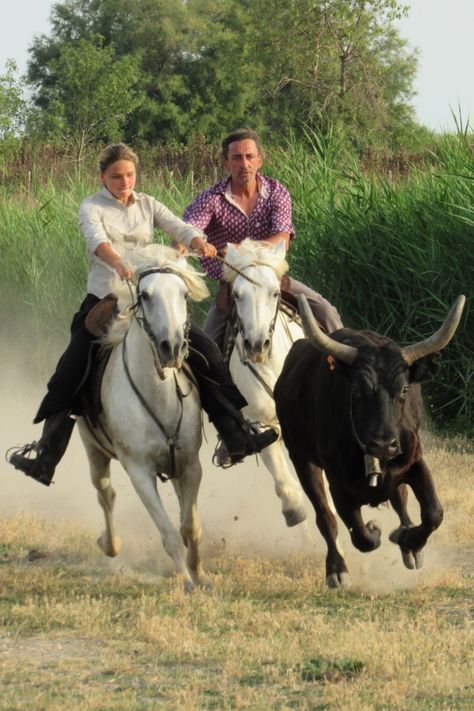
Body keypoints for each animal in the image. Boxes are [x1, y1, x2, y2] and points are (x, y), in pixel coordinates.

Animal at [77, 248, 210, 592]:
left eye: (184, 294)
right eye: (146, 296)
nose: (172, 347)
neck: (157, 395)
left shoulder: (190, 465)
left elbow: (190, 525)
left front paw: (200, 574)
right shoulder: (139, 472)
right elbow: (168, 533)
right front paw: (187, 581)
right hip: (92, 449)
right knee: (105, 494)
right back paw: (110, 545)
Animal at [225, 242, 308, 524]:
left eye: (275, 293)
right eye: (236, 295)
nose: (256, 345)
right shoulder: (260, 426)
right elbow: (287, 487)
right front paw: (294, 510)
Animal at [276, 294, 464, 588]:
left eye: (404, 389)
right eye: (356, 389)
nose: (383, 444)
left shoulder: (414, 461)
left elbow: (434, 512)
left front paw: (407, 539)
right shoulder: (338, 484)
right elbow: (360, 535)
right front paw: (375, 533)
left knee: (400, 499)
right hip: (301, 458)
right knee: (325, 517)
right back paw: (336, 569)